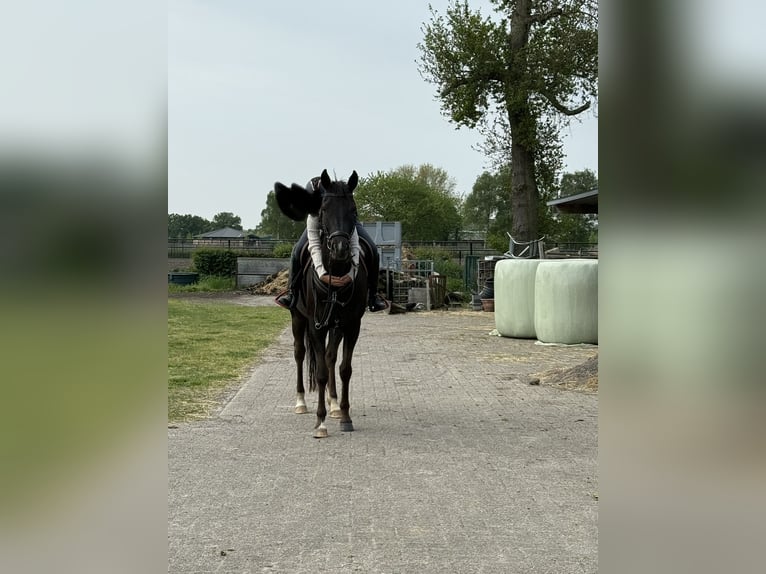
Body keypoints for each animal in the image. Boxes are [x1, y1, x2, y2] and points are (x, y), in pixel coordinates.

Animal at [273, 169, 368, 438]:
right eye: (323, 209)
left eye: (354, 210)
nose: (340, 249)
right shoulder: (316, 326)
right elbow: (321, 373)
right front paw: (320, 423)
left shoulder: (350, 326)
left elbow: (343, 368)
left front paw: (344, 416)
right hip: (298, 319)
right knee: (299, 353)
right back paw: (301, 402)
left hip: (334, 326)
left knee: (329, 356)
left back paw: (334, 404)